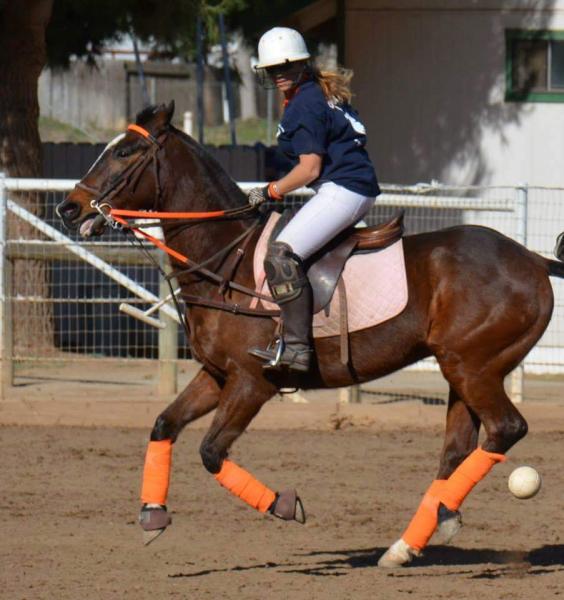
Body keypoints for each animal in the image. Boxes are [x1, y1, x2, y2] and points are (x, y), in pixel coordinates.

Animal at [56, 103, 564, 568]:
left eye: (125, 151)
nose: (68, 207)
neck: (225, 261)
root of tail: (534, 260)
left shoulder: (252, 382)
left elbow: (211, 451)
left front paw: (285, 505)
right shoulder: (217, 375)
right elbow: (165, 424)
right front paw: (152, 515)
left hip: (472, 366)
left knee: (504, 429)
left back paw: (417, 535)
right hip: (459, 368)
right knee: (458, 448)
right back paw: (413, 539)